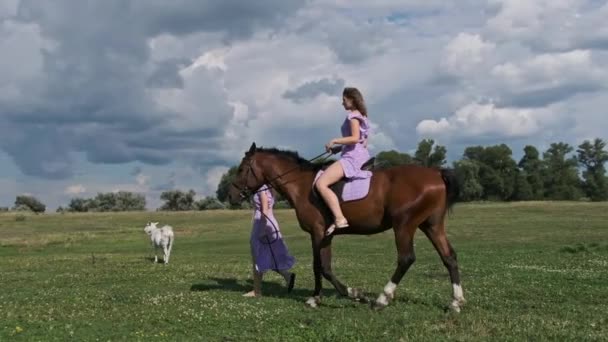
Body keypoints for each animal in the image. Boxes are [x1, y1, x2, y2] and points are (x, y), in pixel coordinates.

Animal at [228, 143, 466, 312]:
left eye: (241, 169)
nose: (231, 196)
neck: (301, 184)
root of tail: (436, 174)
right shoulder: (326, 235)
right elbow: (324, 266)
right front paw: (324, 296)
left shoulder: (318, 232)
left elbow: (321, 267)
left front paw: (347, 294)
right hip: (431, 225)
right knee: (449, 257)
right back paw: (456, 301)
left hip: (404, 225)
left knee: (406, 258)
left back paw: (382, 299)